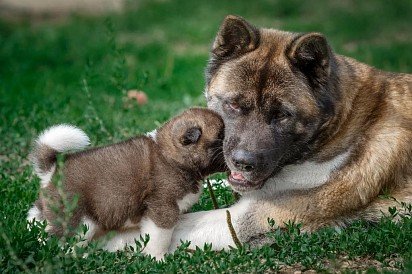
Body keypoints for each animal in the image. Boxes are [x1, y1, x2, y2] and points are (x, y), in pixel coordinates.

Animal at [28, 107, 225, 260]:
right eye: (220, 136)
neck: (171, 156)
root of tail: (53, 171)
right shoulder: (163, 209)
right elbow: (160, 238)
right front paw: (159, 257)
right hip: (80, 221)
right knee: (67, 243)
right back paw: (81, 256)